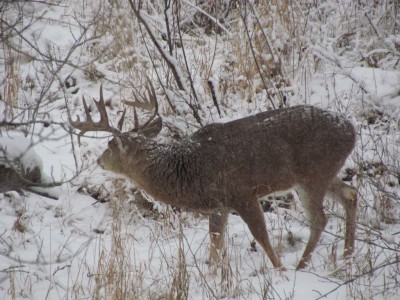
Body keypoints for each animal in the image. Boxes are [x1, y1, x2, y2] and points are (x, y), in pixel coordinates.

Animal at [70, 85, 358, 270]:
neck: (188, 167)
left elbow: (260, 235)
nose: (98, 160)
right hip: (323, 173)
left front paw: (279, 271)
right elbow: (215, 242)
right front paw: (212, 273)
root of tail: (351, 131)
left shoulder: (242, 193)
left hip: (313, 174)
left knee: (320, 218)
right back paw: (347, 256)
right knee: (351, 194)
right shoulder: (219, 205)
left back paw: (301, 265)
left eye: (109, 145)